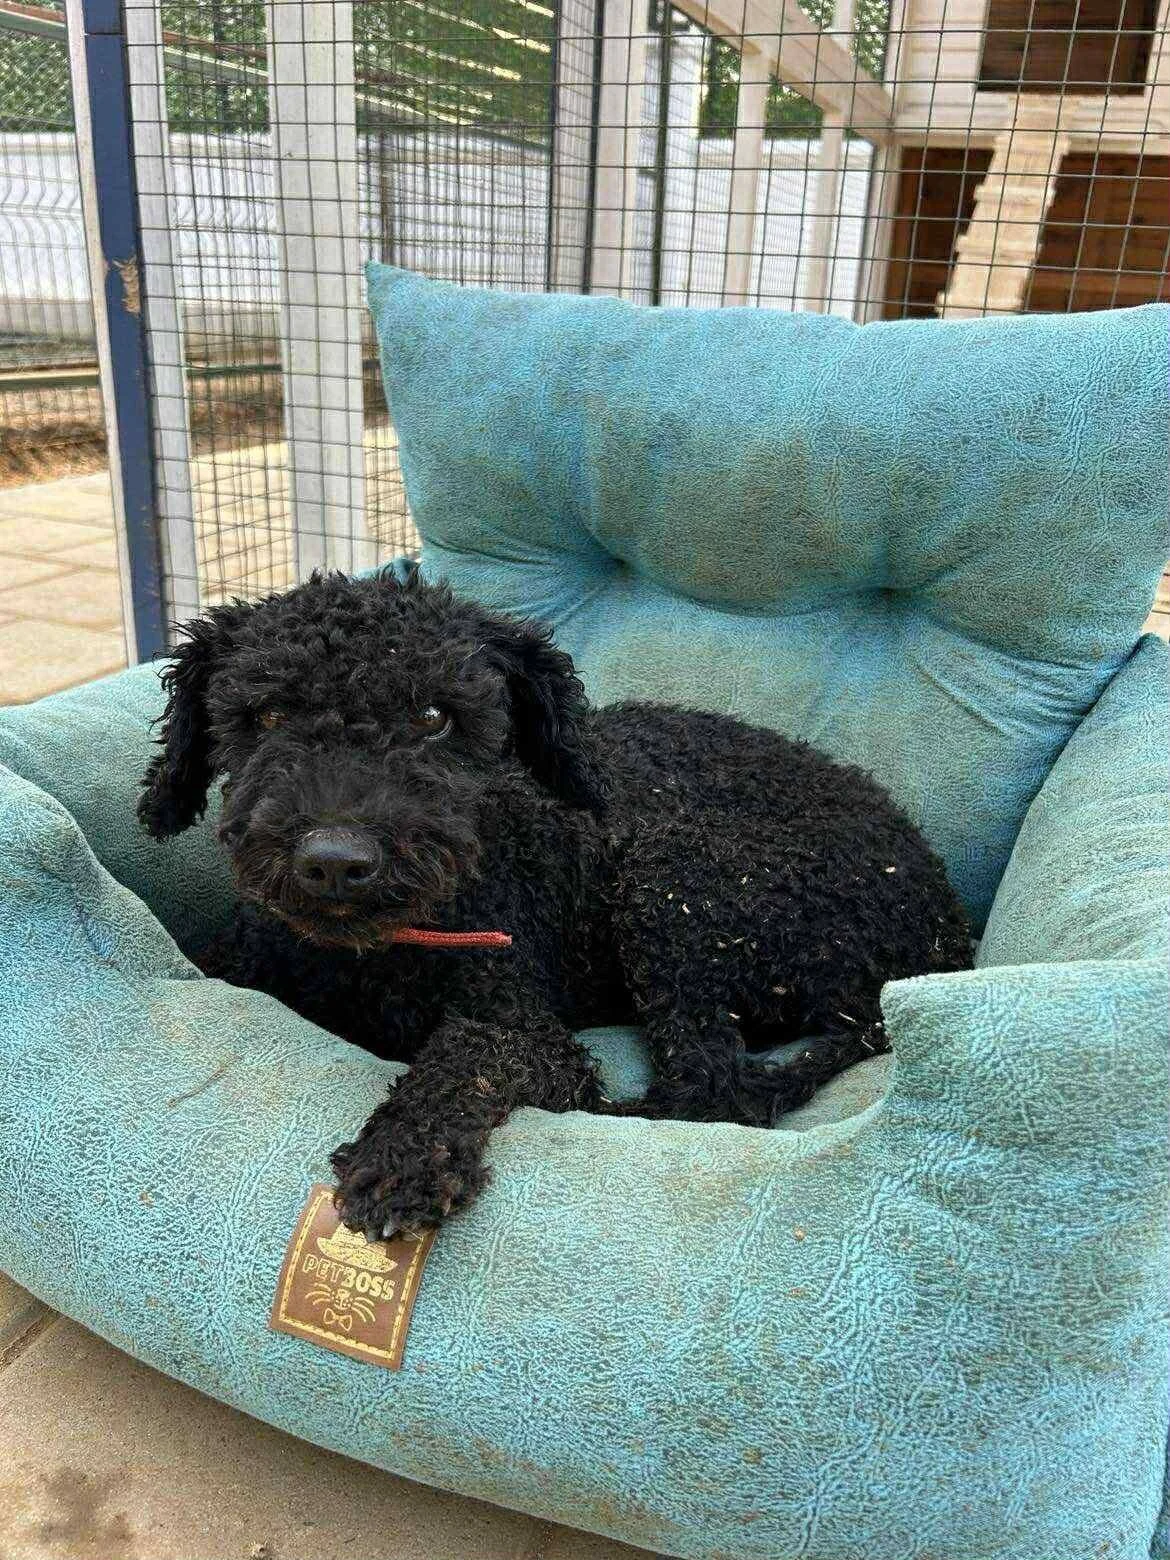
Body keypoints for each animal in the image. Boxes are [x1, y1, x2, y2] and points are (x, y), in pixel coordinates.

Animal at [138, 568, 971, 1239]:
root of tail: (943, 933)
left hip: (677, 881)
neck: (370, 958)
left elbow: (467, 1055)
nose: (336, 861)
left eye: (436, 717)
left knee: (711, 1088)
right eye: (268, 715)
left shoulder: (536, 1035)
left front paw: (403, 1159)